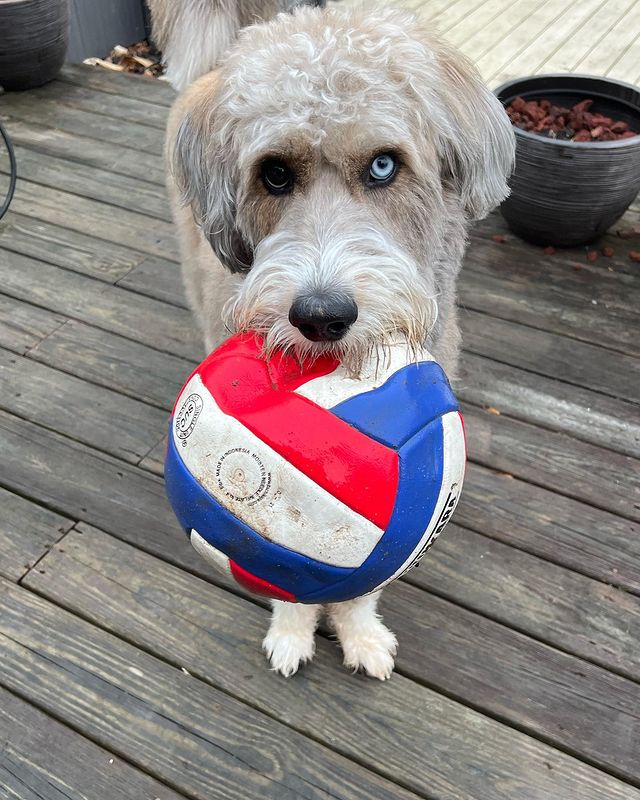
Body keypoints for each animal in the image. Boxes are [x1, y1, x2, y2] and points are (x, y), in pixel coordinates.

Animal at [159, 1, 516, 680]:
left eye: (383, 165)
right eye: (273, 174)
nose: (321, 317)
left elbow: (365, 582)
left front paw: (360, 633)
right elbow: (287, 582)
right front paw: (293, 630)